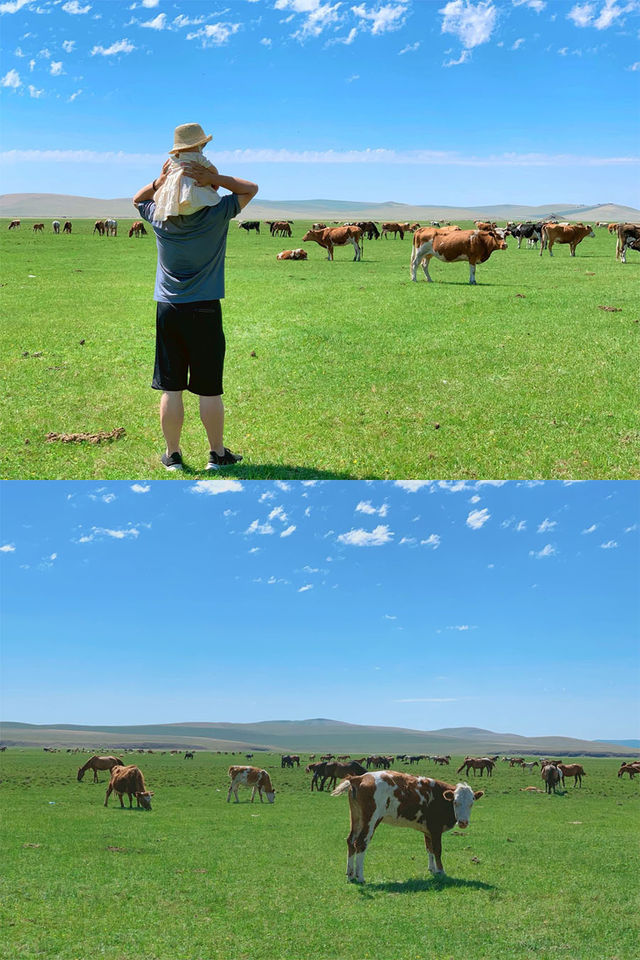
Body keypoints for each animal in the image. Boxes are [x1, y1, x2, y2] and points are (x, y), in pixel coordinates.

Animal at [332, 772, 482, 884]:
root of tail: (360, 777)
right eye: (455, 802)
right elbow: (437, 850)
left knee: (351, 841)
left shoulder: (427, 830)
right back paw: (360, 877)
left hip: (356, 818)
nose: (463, 822)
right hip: (370, 820)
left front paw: (432, 870)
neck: (440, 797)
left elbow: (429, 849)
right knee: (360, 843)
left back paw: (351, 875)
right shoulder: (435, 829)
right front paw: (441, 872)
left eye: (471, 803)